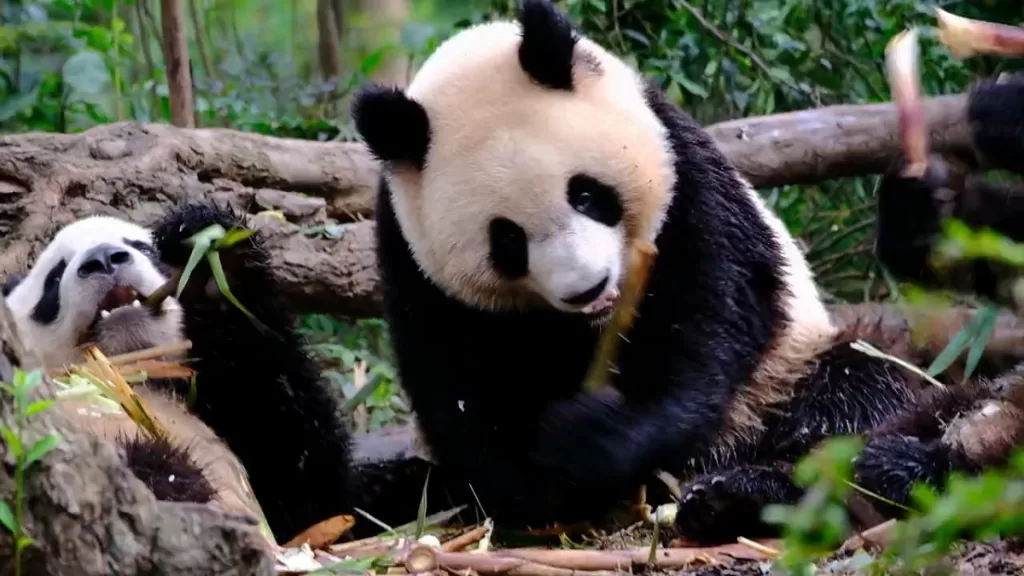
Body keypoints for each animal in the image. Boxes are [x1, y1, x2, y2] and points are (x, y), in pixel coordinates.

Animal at [1, 202, 357, 545]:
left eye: (144, 248)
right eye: (54, 279)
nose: (103, 258)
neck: (131, 374)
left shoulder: (228, 400)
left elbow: (302, 471)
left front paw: (208, 256)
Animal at [351, 0, 935, 543]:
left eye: (587, 195)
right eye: (508, 240)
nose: (588, 288)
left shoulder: (686, 183)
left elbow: (708, 330)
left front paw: (590, 440)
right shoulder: (414, 265)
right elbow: (460, 389)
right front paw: (542, 488)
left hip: (782, 375)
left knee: (858, 391)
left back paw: (740, 495)